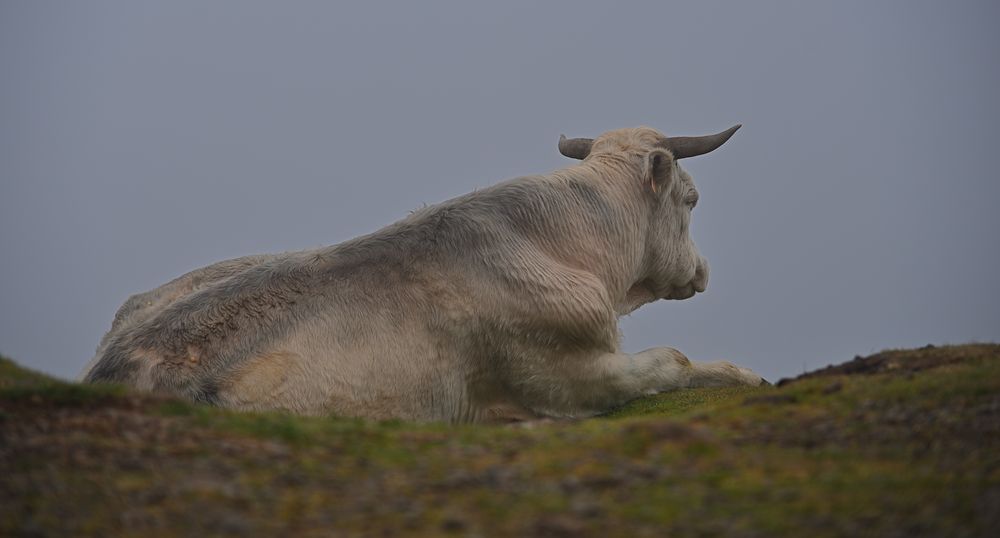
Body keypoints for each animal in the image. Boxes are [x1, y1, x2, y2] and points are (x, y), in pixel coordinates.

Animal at [82, 123, 764, 420]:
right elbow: (672, 361)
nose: (703, 268)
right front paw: (747, 375)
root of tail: (109, 366)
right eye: (692, 198)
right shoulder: (566, 374)